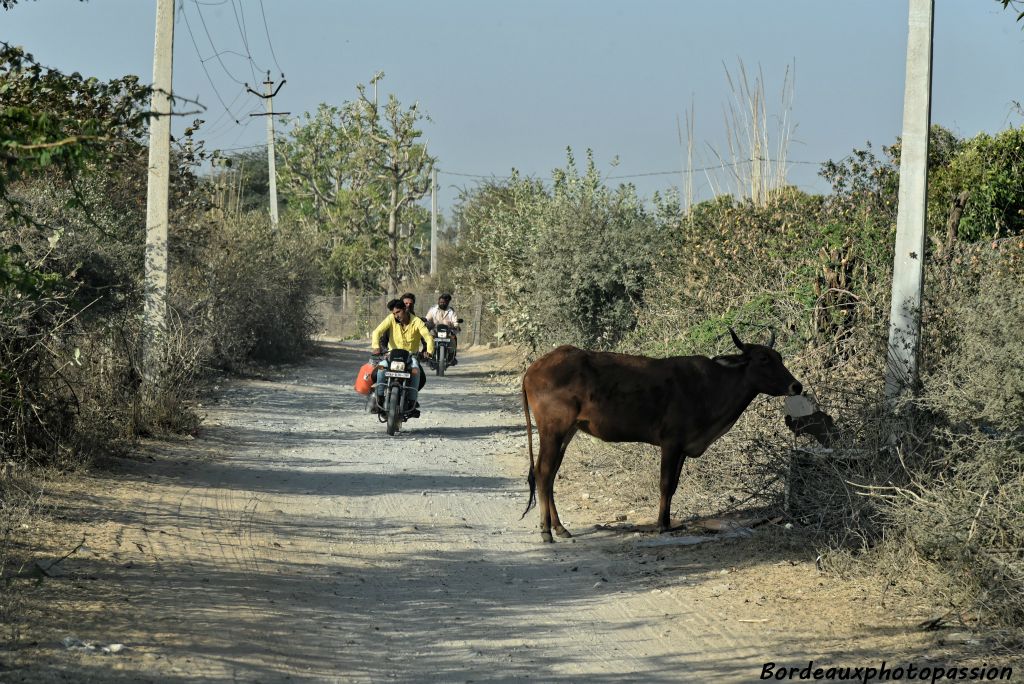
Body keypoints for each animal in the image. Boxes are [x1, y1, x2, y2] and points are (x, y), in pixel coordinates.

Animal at [520, 327, 798, 540]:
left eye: (779, 357)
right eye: (763, 359)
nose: (797, 386)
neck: (710, 387)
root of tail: (533, 368)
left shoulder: (683, 447)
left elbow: (673, 486)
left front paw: (667, 521)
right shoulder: (670, 442)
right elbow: (664, 484)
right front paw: (661, 525)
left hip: (567, 432)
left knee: (550, 475)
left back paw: (559, 527)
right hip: (553, 430)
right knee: (543, 472)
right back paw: (547, 531)